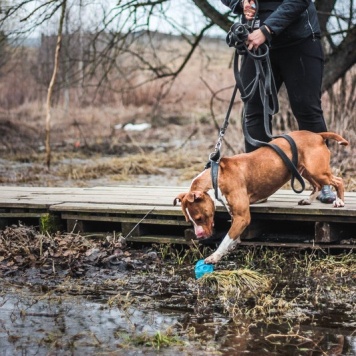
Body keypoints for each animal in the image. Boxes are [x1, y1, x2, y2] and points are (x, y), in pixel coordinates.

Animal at [172, 131, 348, 264]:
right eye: (190, 220)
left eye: (199, 218)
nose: (199, 235)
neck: (216, 177)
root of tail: (317, 135)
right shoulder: (236, 215)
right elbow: (231, 237)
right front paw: (231, 246)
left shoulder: (242, 216)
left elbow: (225, 239)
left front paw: (214, 256)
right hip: (303, 170)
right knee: (317, 185)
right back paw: (308, 200)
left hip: (317, 170)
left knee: (338, 181)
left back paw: (339, 201)